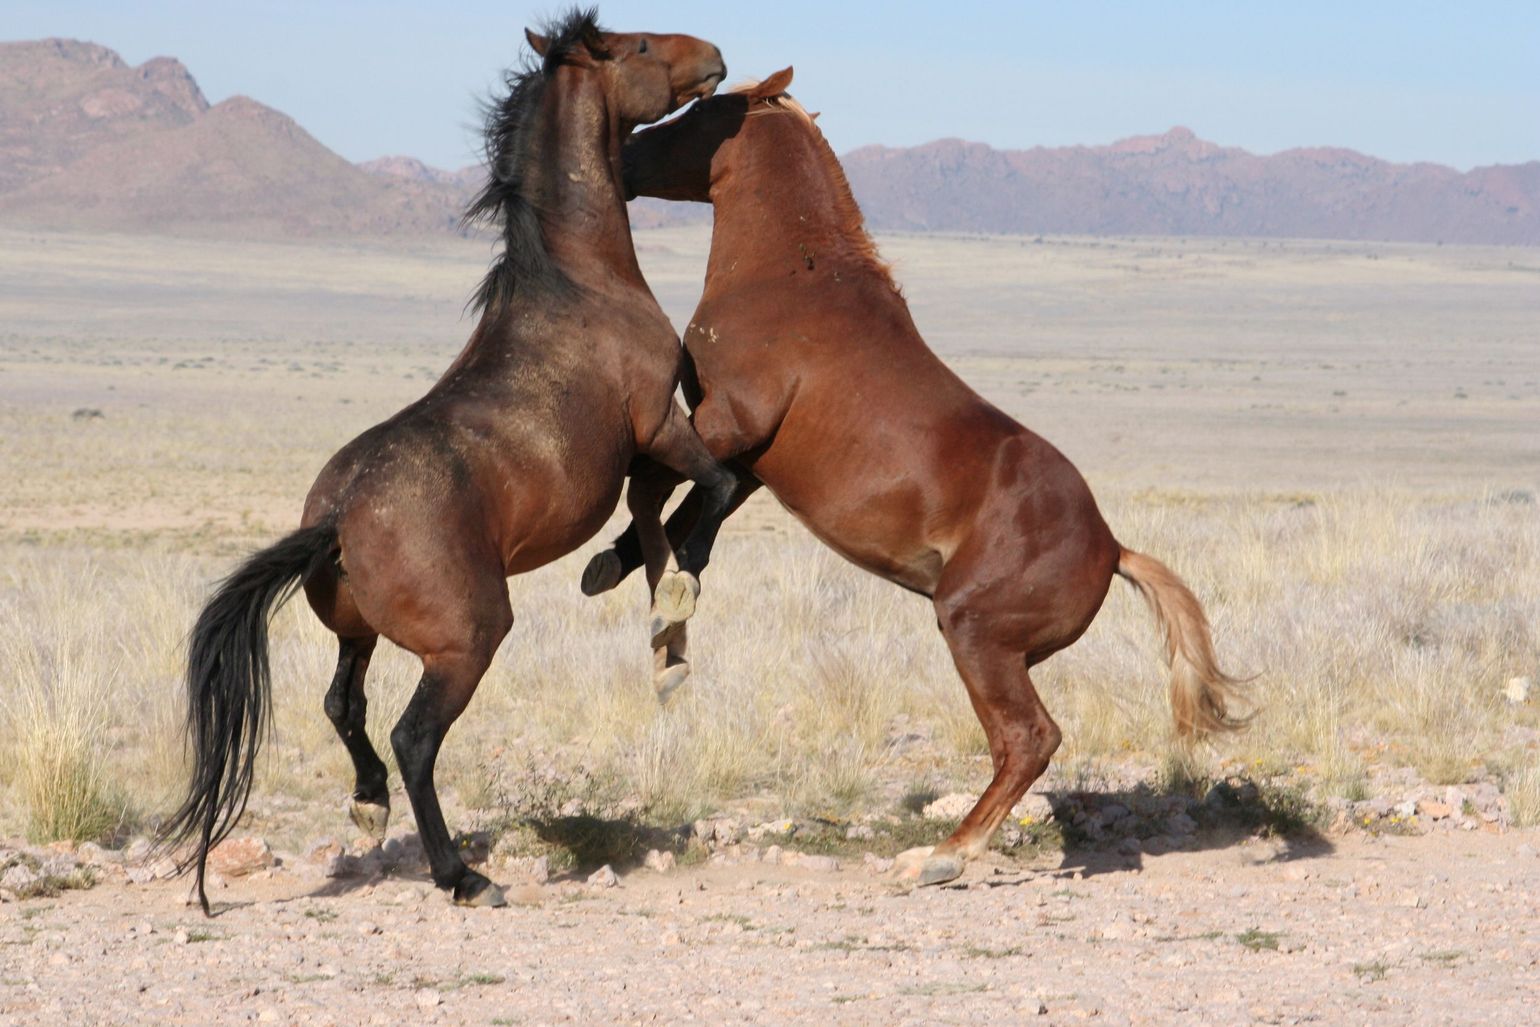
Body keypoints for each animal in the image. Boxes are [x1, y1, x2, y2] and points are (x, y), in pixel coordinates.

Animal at [159, 10, 736, 913]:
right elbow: (716, 486)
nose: (713, 56)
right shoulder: (659, 423)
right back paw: (461, 874)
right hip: (468, 639)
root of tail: (336, 515)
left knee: (343, 702)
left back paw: (368, 805)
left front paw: (651, 611)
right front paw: (677, 589)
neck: (581, 281)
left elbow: (664, 517)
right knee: (412, 735)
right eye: (639, 44)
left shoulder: (647, 450)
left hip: (356, 629)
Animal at [580, 69, 1247, 886]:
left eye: (699, 111)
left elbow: (651, 489)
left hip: (974, 632)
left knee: (1029, 738)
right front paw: (636, 583)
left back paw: (943, 856)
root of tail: (1111, 549)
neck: (792, 280)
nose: (624, 157)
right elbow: (690, 517)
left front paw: (661, 615)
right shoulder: (748, 464)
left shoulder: (727, 426)